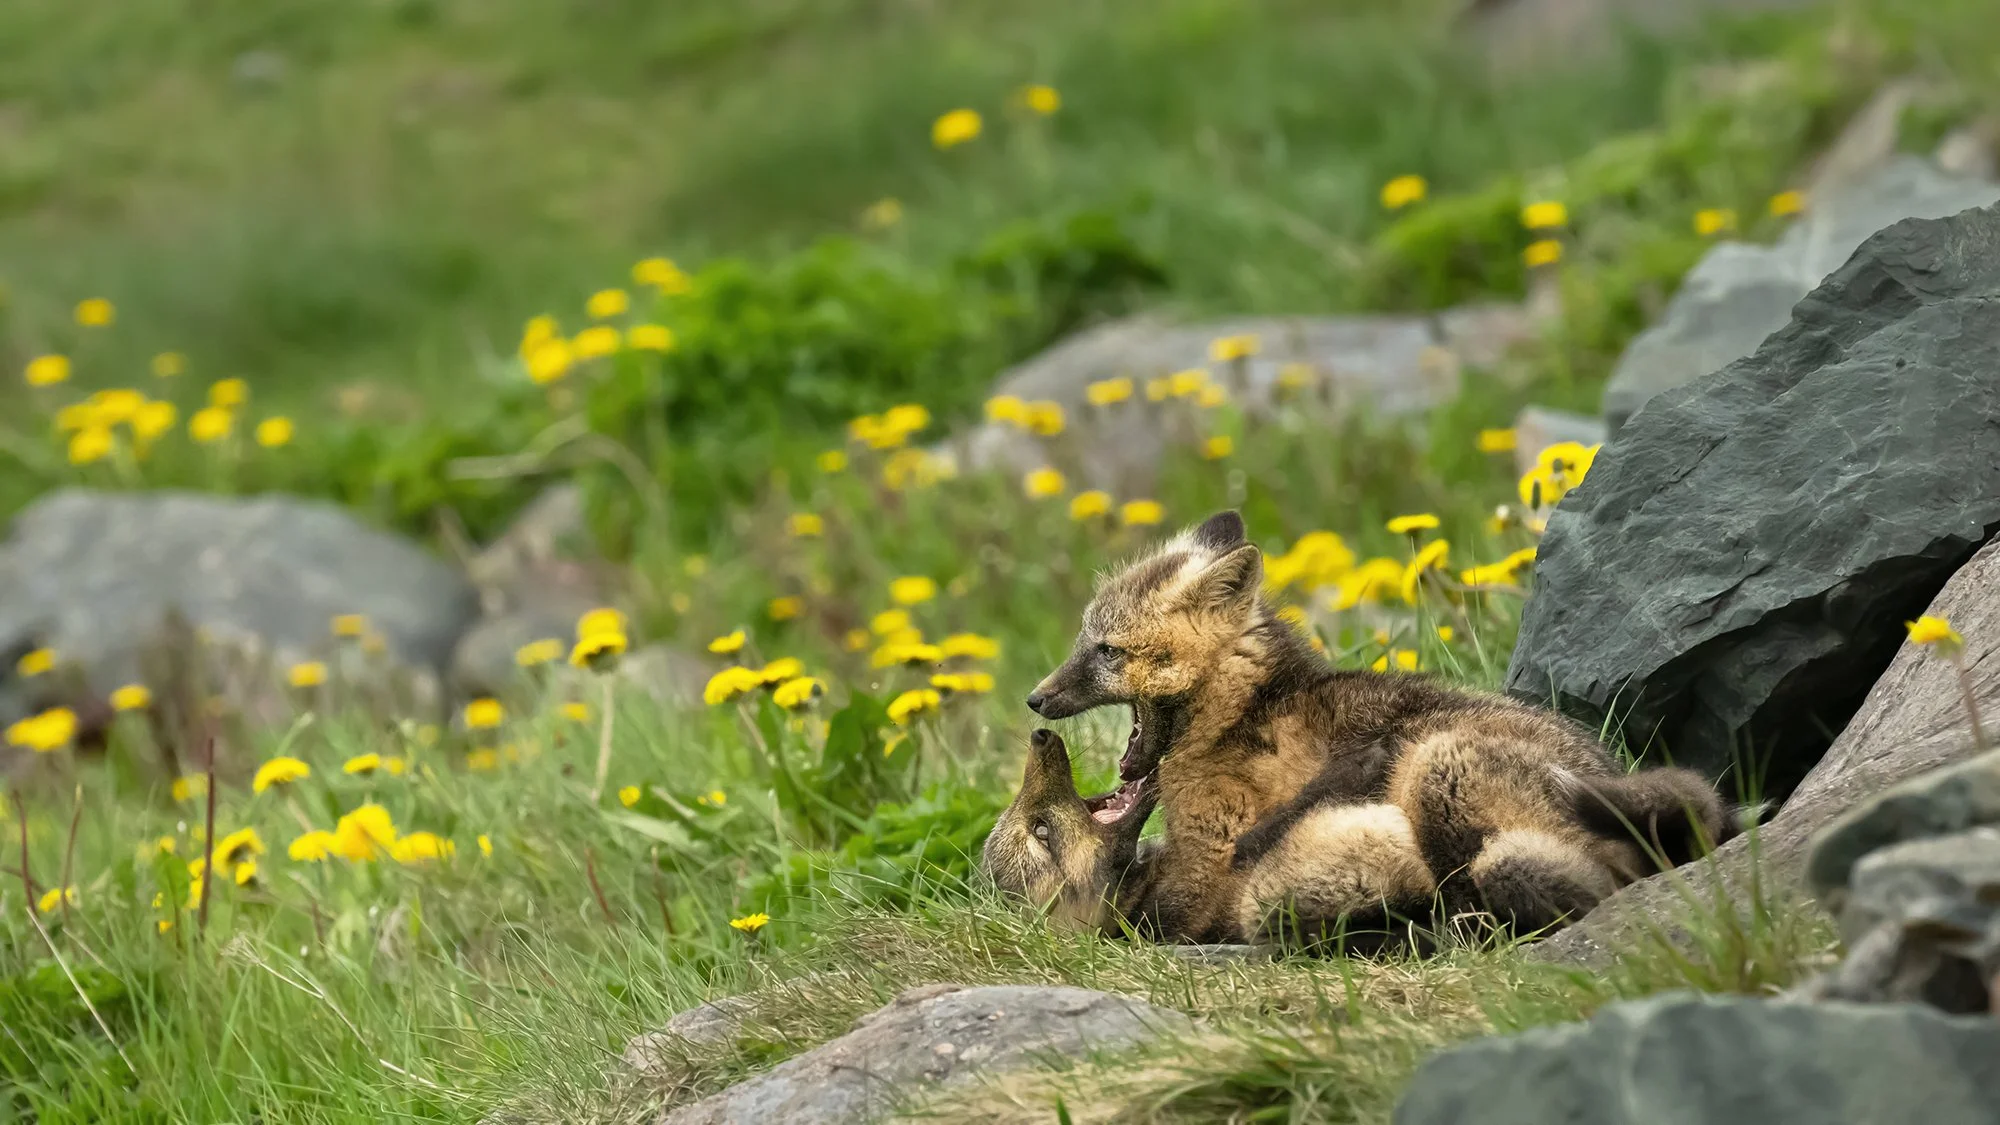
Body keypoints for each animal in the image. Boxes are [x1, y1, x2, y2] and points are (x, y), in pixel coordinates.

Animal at [1024, 509, 1743, 942]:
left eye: (1106, 651)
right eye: (1084, 640)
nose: (1034, 700)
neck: (1246, 713)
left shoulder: (1209, 857)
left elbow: (1158, 916)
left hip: (1436, 766)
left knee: (1561, 889)